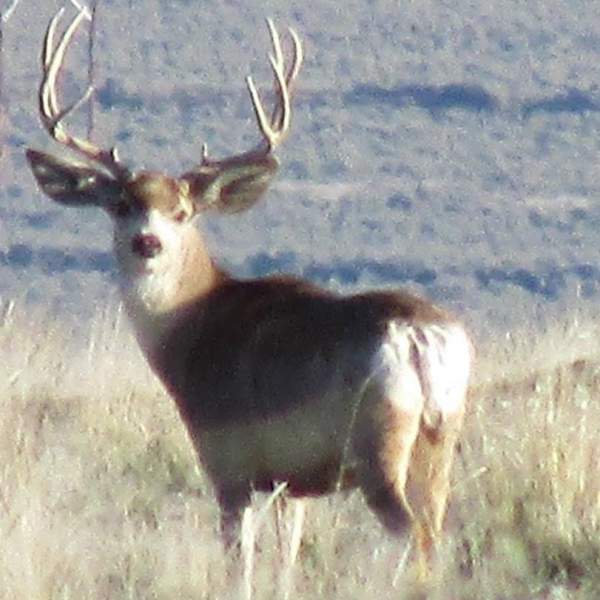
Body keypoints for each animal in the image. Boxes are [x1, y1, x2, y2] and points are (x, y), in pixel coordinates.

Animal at [25, 3, 472, 592]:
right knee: (437, 535)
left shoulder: (229, 461)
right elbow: (286, 560)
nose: (148, 242)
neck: (193, 327)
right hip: (439, 435)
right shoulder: (291, 481)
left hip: (379, 438)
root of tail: (422, 337)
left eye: (182, 212)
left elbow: (239, 563)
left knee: (412, 536)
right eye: (121, 204)